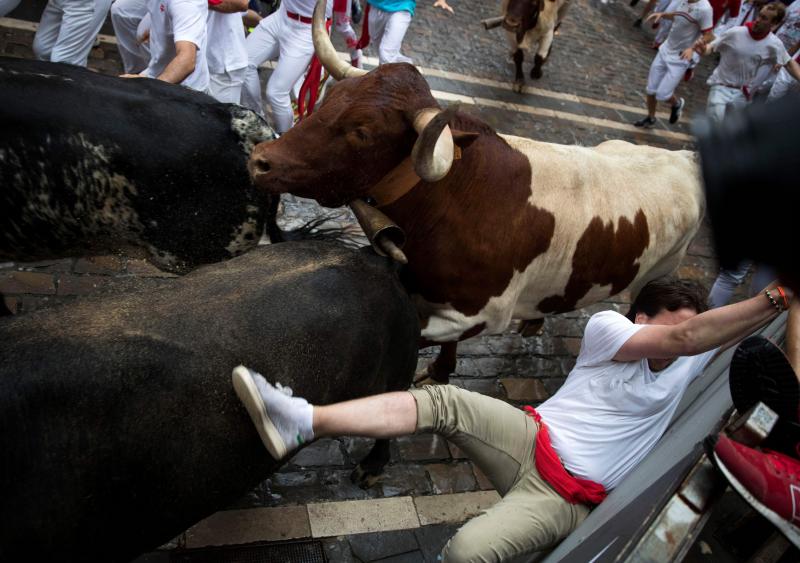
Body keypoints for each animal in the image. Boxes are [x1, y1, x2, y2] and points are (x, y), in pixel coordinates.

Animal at [247, 0, 704, 384]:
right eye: (331, 96)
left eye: (363, 132)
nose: (260, 159)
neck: (452, 204)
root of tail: (683, 156)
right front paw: (442, 369)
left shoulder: (480, 314)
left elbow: (424, 336)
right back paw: (536, 321)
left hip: (661, 272)